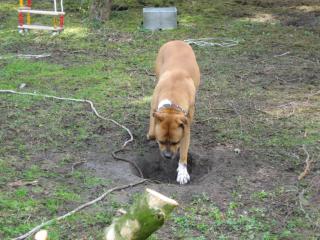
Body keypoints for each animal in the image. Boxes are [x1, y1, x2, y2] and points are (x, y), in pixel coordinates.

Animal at [148, 40, 200, 185]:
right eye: (160, 141)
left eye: (175, 142)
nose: (167, 156)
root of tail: (178, 41)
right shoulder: (154, 107)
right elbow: (153, 128)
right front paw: (151, 134)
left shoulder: (186, 126)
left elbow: (183, 152)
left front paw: (182, 172)